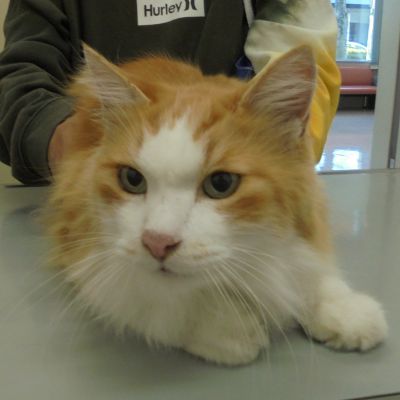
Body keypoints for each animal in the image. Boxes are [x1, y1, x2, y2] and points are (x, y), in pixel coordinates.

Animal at [44, 44, 388, 365]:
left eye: (221, 184)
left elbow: (308, 266)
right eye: (131, 179)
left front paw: (341, 308)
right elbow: (156, 302)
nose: (157, 243)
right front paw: (225, 329)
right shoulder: (82, 238)